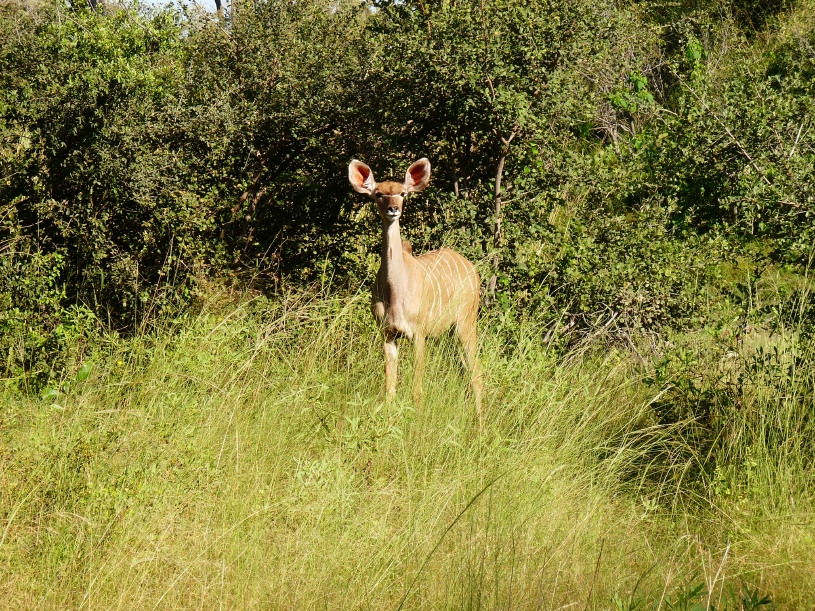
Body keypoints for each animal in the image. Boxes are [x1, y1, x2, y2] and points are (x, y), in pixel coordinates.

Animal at [348, 158, 483, 420]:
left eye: (402, 193)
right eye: (378, 194)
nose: (393, 209)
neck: (395, 294)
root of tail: (473, 269)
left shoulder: (419, 333)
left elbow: (416, 389)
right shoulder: (388, 333)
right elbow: (390, 388)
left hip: (466, 322)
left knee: (477, 374)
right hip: (452, 332)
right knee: (466, 371)